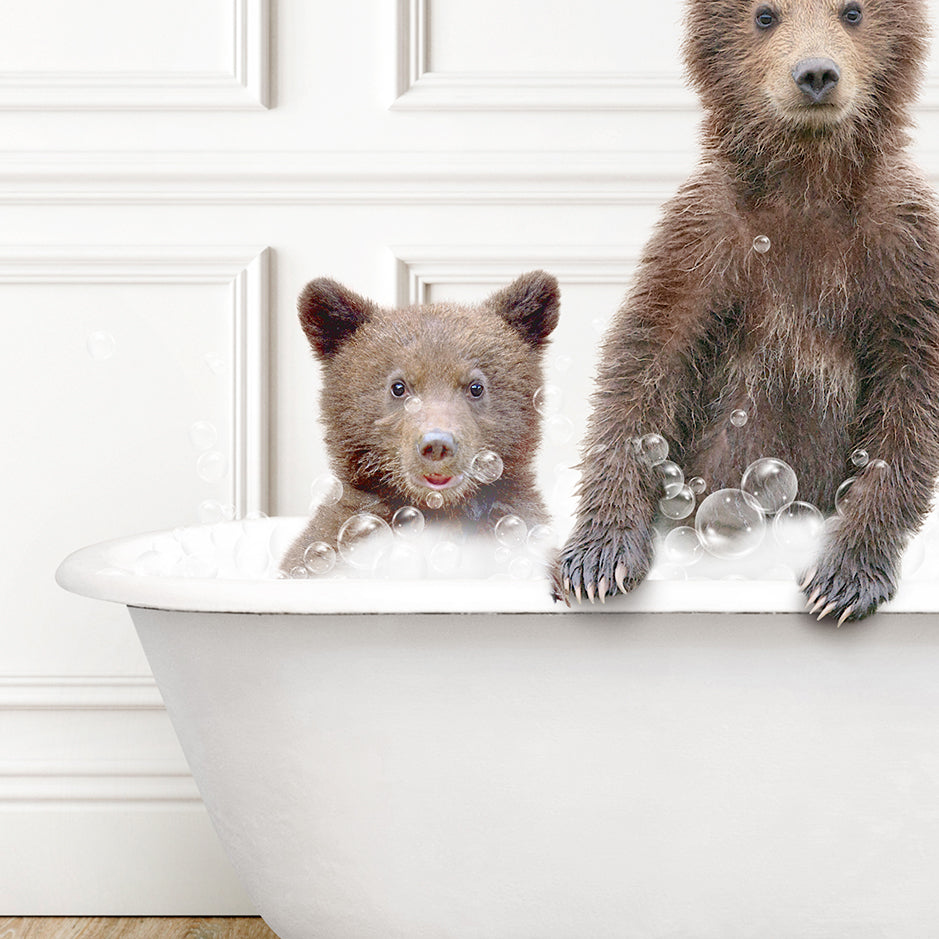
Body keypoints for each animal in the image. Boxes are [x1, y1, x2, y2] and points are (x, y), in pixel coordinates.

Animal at [560, 0, 939, 624]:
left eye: (853, 11)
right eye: (765, 16)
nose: (816, 74)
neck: (807, 187)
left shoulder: (903, 254)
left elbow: (911, 402)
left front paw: (843, 577)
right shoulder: (705, 241)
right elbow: (645, 364)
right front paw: (599, 555)